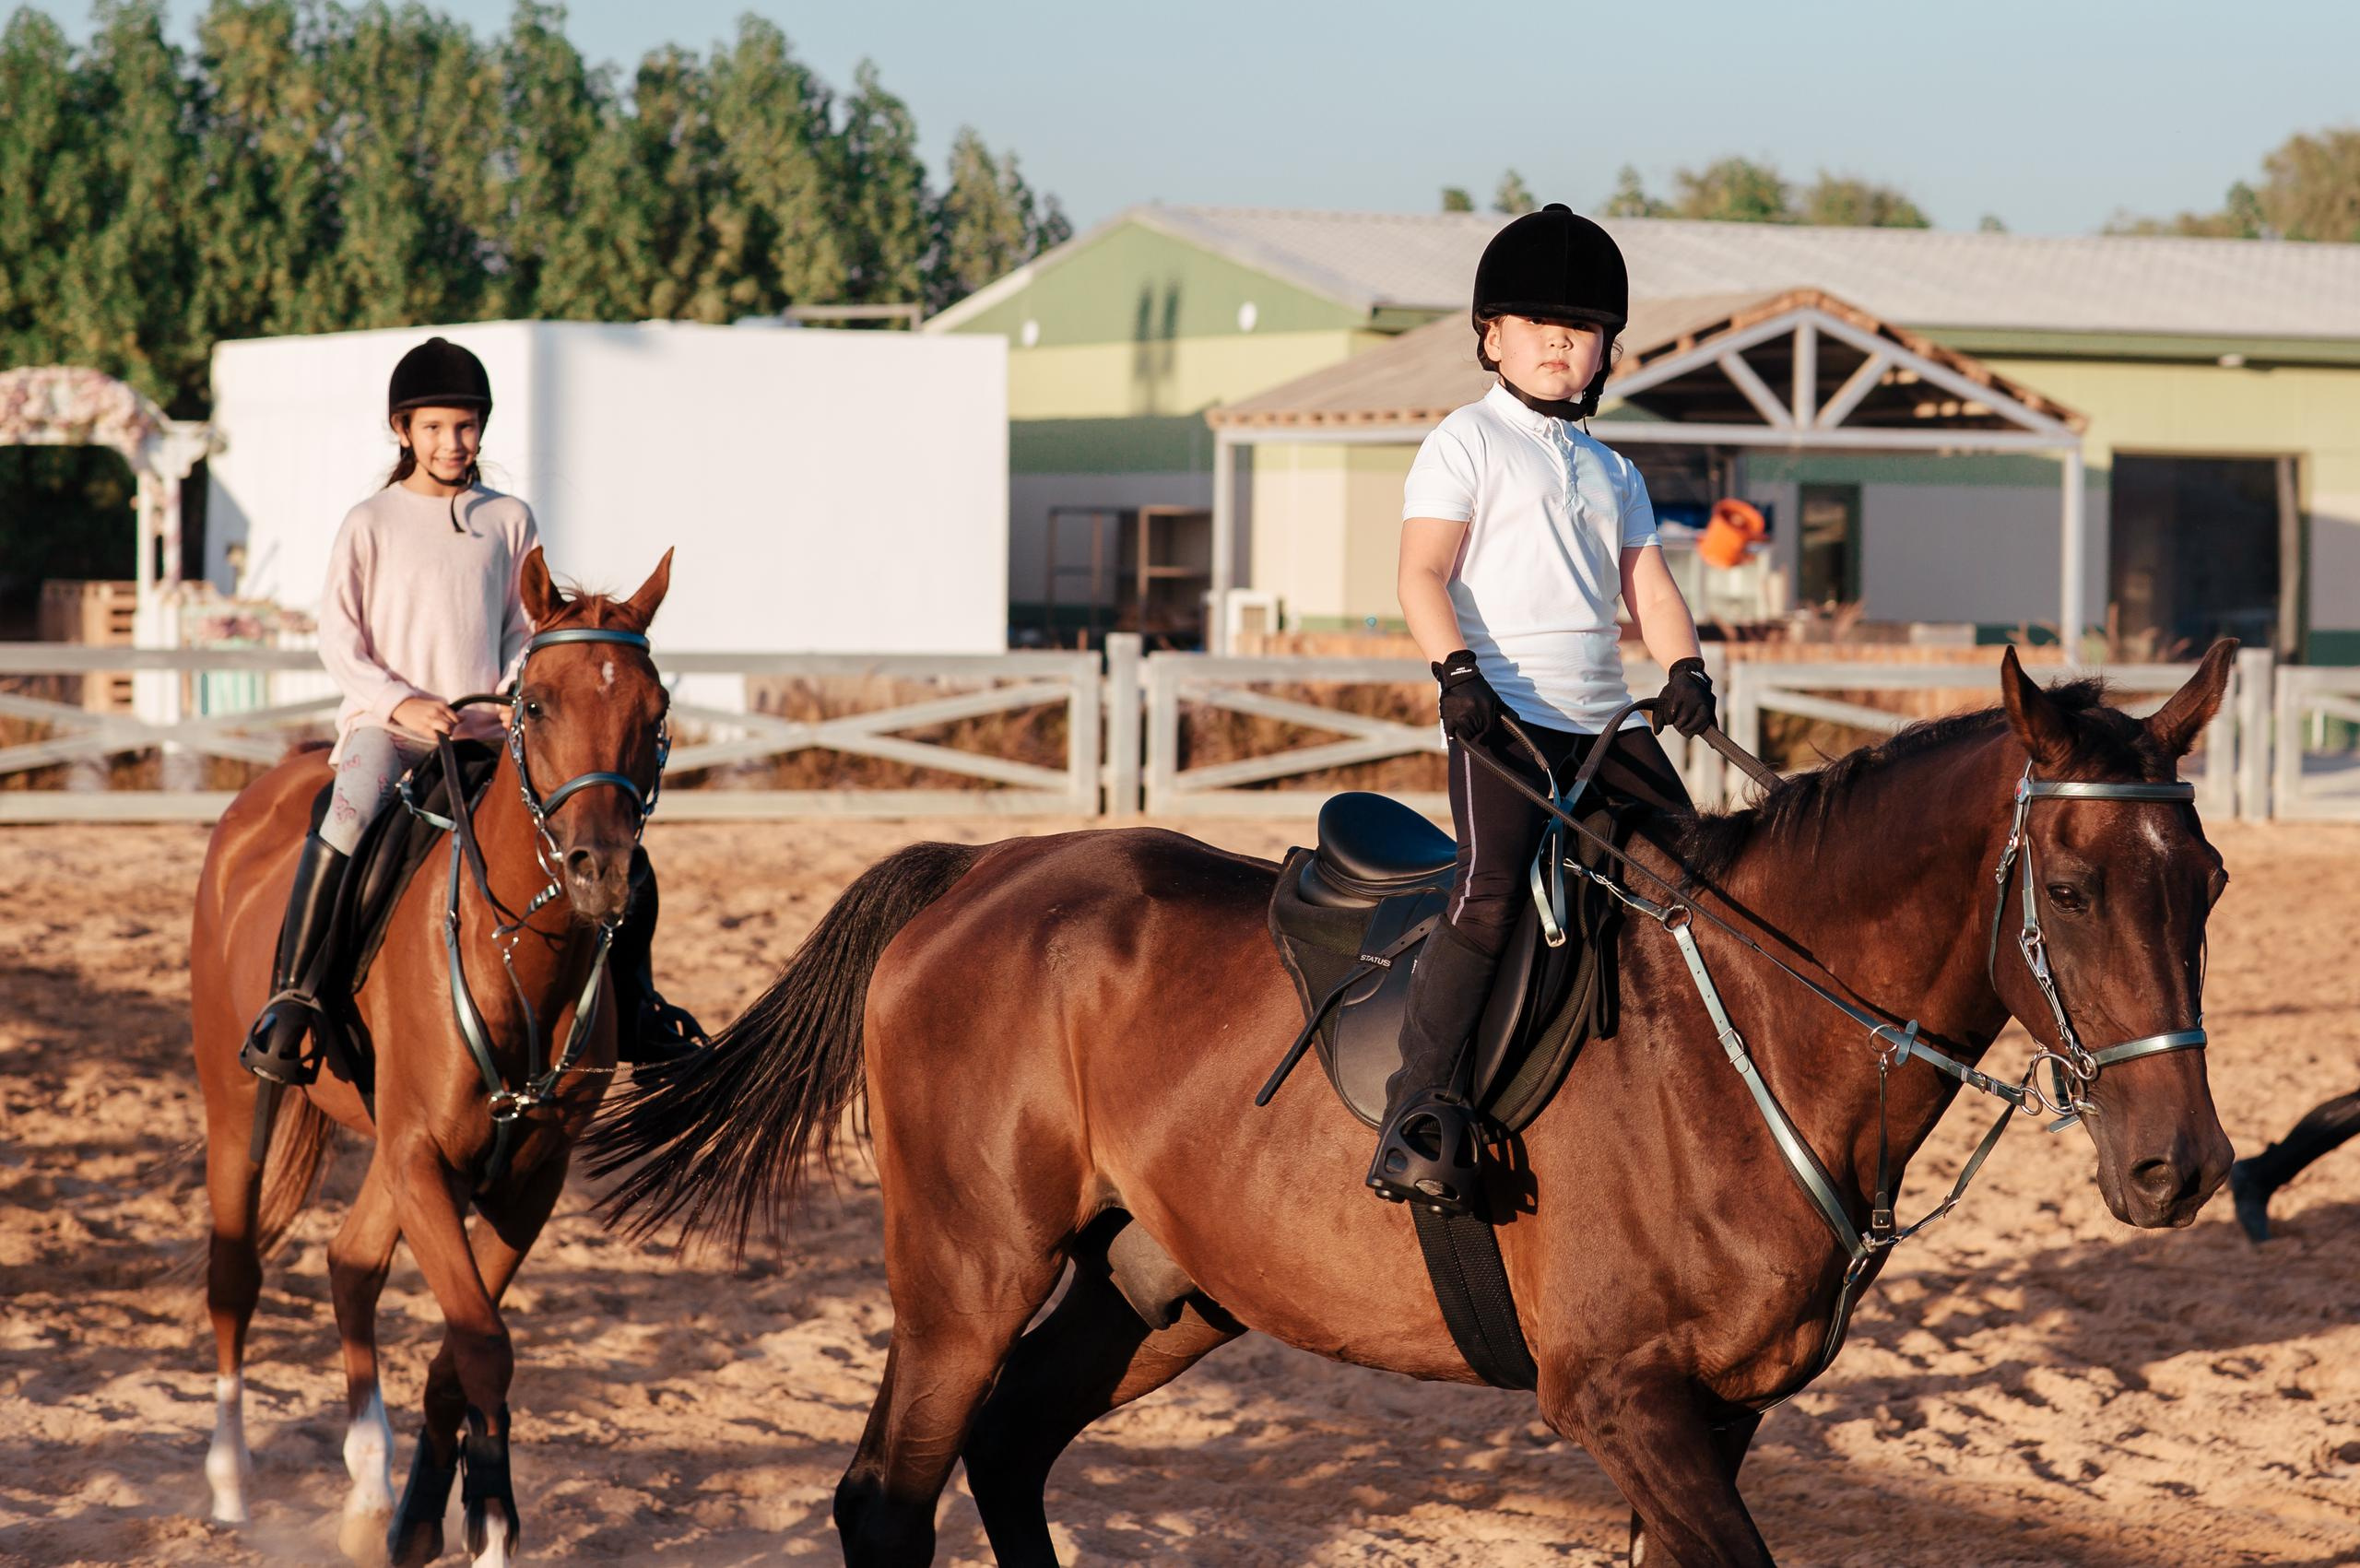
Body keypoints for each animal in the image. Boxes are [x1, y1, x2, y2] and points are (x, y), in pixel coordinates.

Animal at [190, 547, 674, 1566]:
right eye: (539, 704)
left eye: (654, 712)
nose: (601, 872)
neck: (517, 949)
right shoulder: (421, 1156)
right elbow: (482, 1342)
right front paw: (488, 1526)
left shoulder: (526, 1175)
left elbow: (463, 1342)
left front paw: (428, 1511)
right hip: (238, 1103)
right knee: (235, 1273)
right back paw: (230, 1483)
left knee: (350, 1262)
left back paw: (370, 1489)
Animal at [590, 643, 2238, 1568]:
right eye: (2072, 891)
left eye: (2208, 885)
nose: (2181, 1170)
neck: (1756, 1034)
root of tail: (978, 872)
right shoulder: (1618, 1398)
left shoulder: (1718, 1418)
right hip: (968, 1274)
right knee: (888, 1496)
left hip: (1160, 1294)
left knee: (1004, 1453)